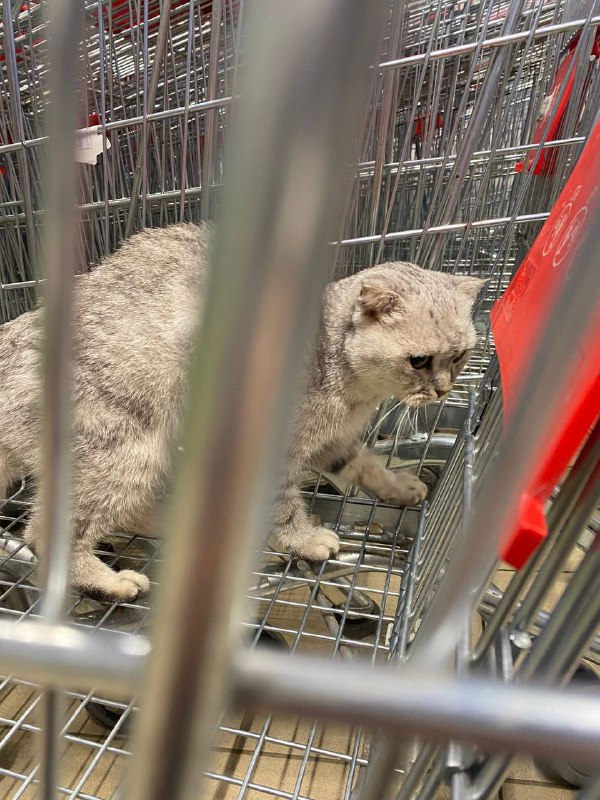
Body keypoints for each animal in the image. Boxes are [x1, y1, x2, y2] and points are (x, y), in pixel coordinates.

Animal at [0, 223, 480, 600]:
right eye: (419, 360)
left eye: (458, 356)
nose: (442, 389)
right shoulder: (277, 450)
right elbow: (284, 506)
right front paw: (304, 540)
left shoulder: (335, 441)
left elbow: (367, 465)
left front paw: (400, 487)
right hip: (130, 451)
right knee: (45, 532)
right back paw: (111, 581)